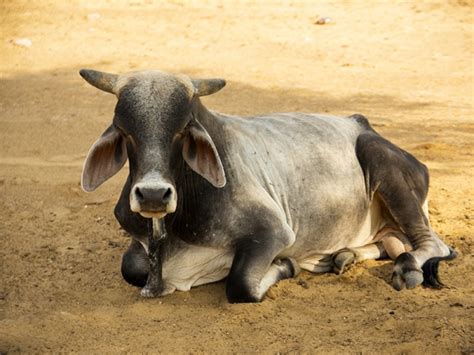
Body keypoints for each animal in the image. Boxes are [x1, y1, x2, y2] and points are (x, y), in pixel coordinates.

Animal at [80, 69, 456, 304]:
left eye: (182, 130)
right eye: (124, 130)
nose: (153, 195)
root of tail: (364, 125)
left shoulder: (273, 232)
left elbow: (242, 284)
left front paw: (287, 265)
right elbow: (131, 268)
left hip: (381, 162)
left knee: (431, 244)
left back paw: (406, 267)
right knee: (389, 242)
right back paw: (343, 256)